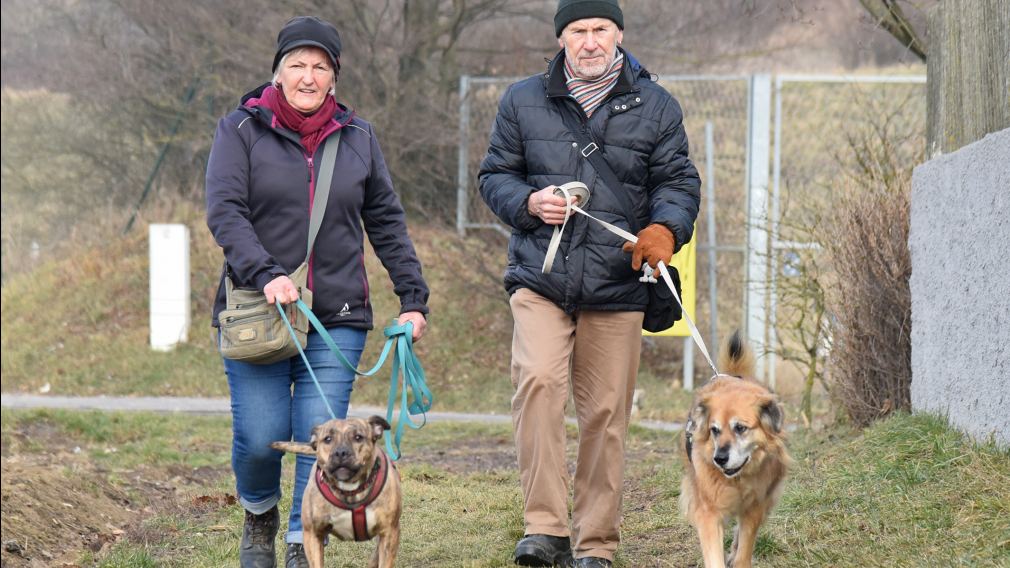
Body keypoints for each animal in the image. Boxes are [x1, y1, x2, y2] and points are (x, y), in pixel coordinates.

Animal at [276, 414, 406, 561]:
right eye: (327, 439)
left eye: (358, 437)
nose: (340, 452)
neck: (350, 489)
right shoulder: (313, 534)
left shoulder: (390, 533)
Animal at [678, 331, 787, 565]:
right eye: (714, 430)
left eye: (740, 428)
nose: (719, 459)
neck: (738, 479)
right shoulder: (709, 512)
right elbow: (714, 556)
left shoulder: (755, 507)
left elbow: (744, 550)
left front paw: (737, 556)